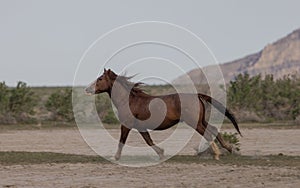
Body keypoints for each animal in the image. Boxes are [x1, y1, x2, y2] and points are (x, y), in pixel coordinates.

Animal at [84, 68, 241, 160]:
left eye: (100, 79)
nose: (87, 89)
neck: (128, 100)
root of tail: (197, 95)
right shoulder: (140, 127)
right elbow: (148, 140)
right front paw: (161, 153)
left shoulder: (126, 125)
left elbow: (122, 141)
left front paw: (115, 158)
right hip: (200, 121)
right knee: (214, 129)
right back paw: (229, 148)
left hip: (194, 123)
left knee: (208, 133)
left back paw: (217, 154)